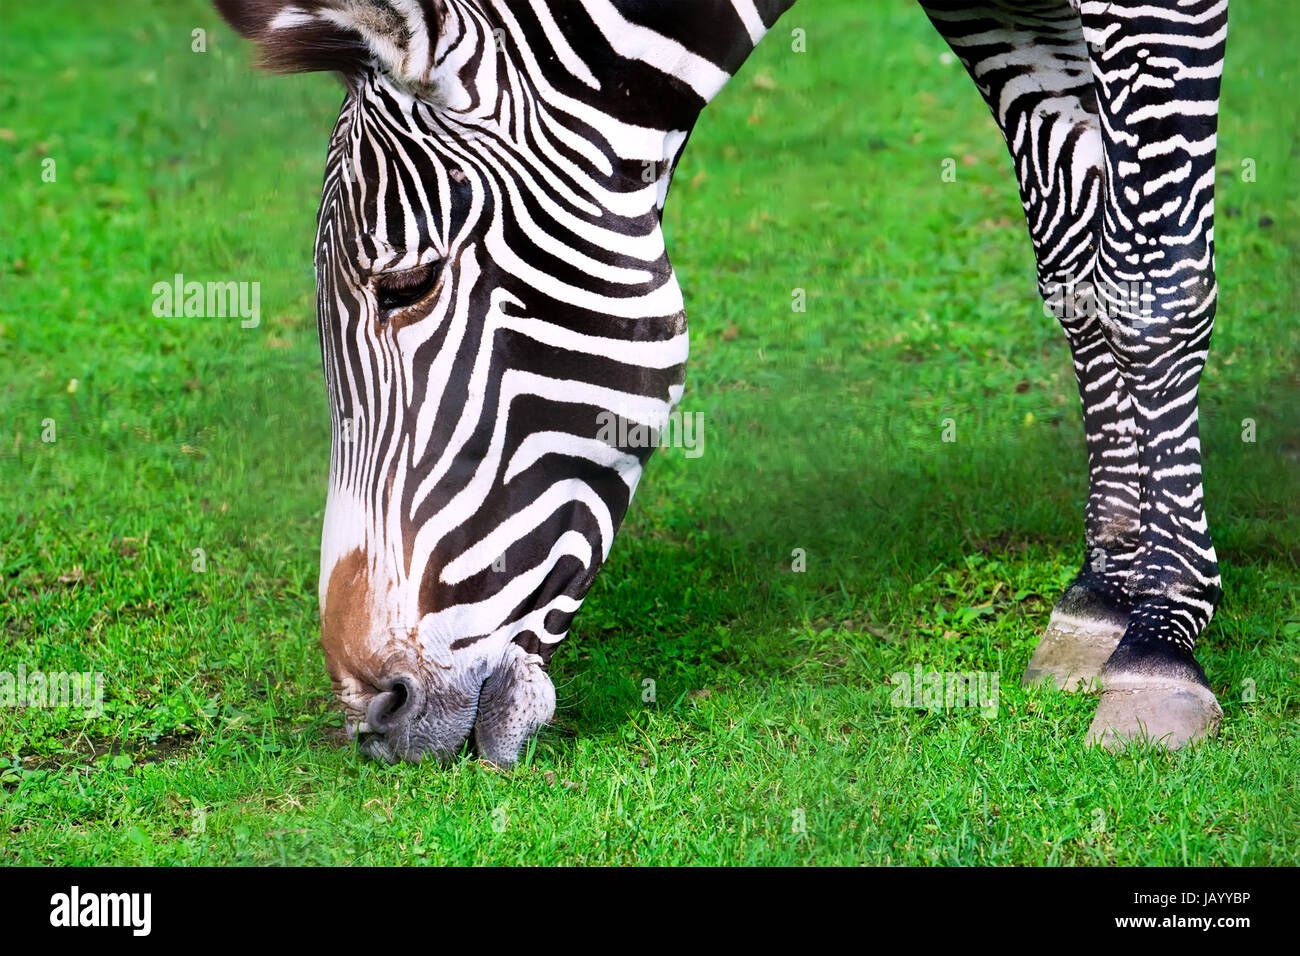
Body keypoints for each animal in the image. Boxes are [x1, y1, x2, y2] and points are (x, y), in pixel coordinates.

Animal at [212, 0, 1230, 765]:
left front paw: (1160, 640)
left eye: (409, 286)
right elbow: (1075, 260)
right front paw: (1104, 590)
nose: (372, 715)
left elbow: (1148, 278)